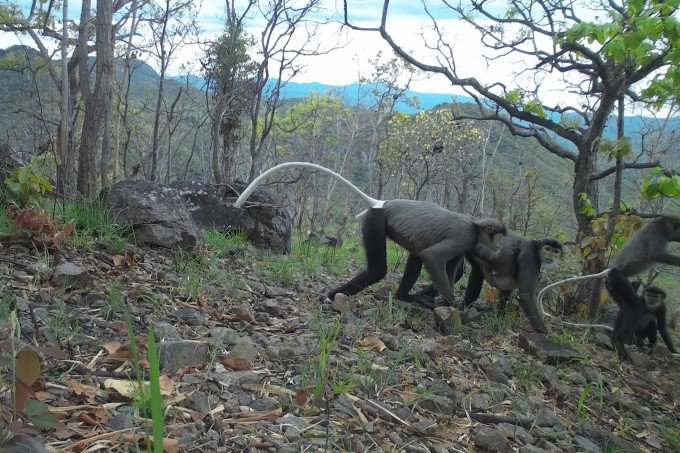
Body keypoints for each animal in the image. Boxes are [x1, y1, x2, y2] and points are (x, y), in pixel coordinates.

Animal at [234, 162, 504, 308]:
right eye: (498, 235)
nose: (501, 246)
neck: (475, 225)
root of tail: (382, 203)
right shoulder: (463, 237)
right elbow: (434, 258)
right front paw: (452, 303)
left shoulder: (464, 245)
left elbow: (450, 268)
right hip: (375, 221)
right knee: (379, 270)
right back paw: (333, 296)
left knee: (415, 257)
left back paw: (403, 297)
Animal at [536, 215, 680, 360]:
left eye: (655, 296)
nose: (651, 299)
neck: (664, 225)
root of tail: (609, 270)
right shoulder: (658, 232)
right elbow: (655, 254)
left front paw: (673, 350)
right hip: (618, 280)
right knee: (636, 307)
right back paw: (619, 340)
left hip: (612, 286)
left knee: (624, 308)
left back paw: (615, 340)